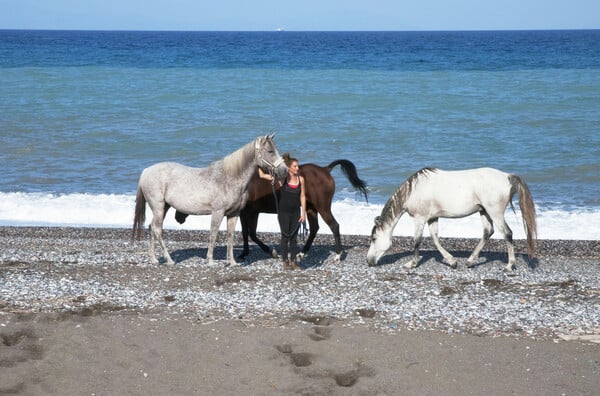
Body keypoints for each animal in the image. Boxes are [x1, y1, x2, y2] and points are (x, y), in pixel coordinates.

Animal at [132, 134, 290, 266]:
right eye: (270, 151)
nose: (284, 171)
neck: (229, 178)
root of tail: (146, 172)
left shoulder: (234, 214)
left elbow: (230, 236)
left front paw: (232, 262)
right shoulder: (218, 212)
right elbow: (213, 233)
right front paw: (210, 260)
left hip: (164, 207)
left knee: (151, 227)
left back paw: (154, 259)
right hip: (158, 207)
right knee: (157, 229)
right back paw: (169, 260)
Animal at [176, 159, 368, 262]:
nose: (178, 217)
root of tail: (325, 169)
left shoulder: (250, 212)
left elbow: (250, 233)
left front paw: (268, 251)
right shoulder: (249, 212)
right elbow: (248, 233)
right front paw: (247, 252)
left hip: (322, 207)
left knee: (334, 226)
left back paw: (337, 255)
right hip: (311, 208)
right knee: (314, 229)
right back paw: (301, 253)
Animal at [368, 167, 536, 272]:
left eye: (374, 238)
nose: (369, 261)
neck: (414, 191)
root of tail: (506, 176)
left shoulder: (420, 218)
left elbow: (417, 241)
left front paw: (412, 263)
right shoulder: (433, 218)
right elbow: (435, 239)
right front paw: (452, 262)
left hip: (495, 212)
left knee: (507, 233)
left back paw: (509, 265)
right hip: (484, 211)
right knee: (488, 232)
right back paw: (469, 261)